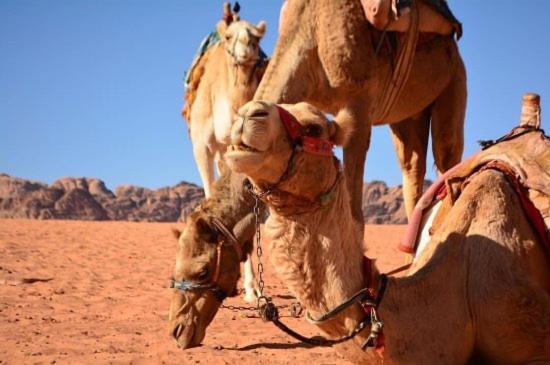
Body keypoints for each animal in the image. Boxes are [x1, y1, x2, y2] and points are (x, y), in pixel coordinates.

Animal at [256, 0, 468, 228]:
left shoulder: (359, 100)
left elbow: (354, 209)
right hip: (409, 110)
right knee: (412, 165)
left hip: (455, 76)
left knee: (446, 152)